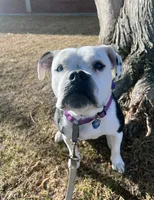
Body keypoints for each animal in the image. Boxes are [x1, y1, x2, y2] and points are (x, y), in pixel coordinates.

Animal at [37, 45, 125, 173]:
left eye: (99, 65)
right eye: (59, 68)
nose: (77, 75)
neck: (84, 115)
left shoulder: (118, 131)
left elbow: (116, 149)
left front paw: (117, 162)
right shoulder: (69, 137)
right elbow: (72, 149)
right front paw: (74, 162)